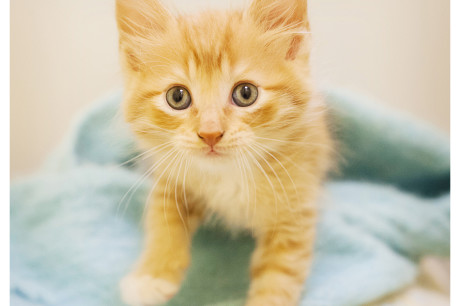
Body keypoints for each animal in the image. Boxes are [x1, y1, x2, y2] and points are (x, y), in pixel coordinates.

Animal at [115, 0, 330, 304]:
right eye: (177, 97)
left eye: (246, 93)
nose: (210, 134)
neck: (228, 173)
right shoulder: (171, 178)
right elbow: (163, 223)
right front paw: (152, 276)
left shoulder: (295, 209)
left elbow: (280, 274)